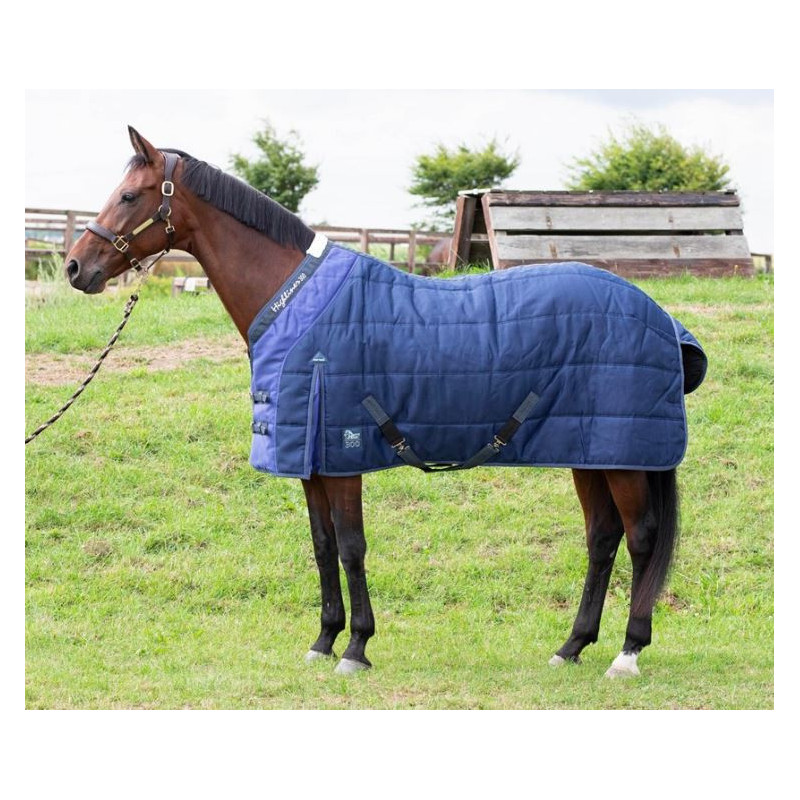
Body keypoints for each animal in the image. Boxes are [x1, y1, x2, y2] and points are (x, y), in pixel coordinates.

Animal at [64, 127, 706, 678]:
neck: (297, 305)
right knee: (602, 539)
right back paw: (571, 646)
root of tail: (659, 316)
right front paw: (324, 640)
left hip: (624, 457)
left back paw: (627, 653)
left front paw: (356, 647)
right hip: (589, 450)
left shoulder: (342, 454)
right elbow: (323, 546)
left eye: (129, 195)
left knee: (641, 539)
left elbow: (351, 547)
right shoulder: (311, 461)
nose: (75, 267)